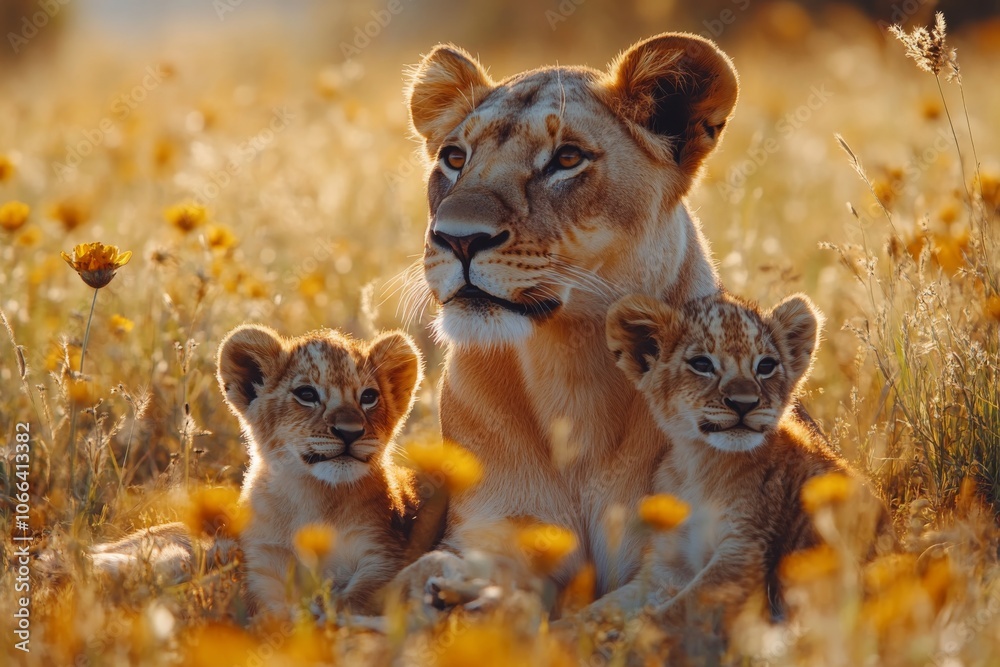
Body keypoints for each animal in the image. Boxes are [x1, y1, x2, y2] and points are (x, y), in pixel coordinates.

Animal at [394, 32, 742, 611]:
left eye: (567, 158)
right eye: (454, 157)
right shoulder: (493, 527)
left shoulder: (672, 566)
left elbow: (595, 624)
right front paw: (448, 595)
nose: (457, 238)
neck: (568, 364)